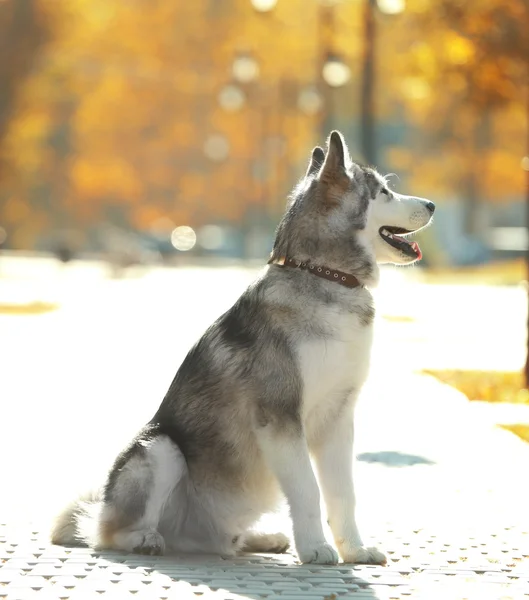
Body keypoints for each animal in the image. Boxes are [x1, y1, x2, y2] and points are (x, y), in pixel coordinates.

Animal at [51, 130, 436, 564]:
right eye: (384, 191)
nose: (432, 205)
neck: (325, 276)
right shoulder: (281, 417)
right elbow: (308, 489)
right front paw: (316, 549)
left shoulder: (338, 417)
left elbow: (343, 494)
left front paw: (354, 550)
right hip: (160, 449)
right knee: (108, 532)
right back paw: (143, 539)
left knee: (223, 541)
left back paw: (261, 539)